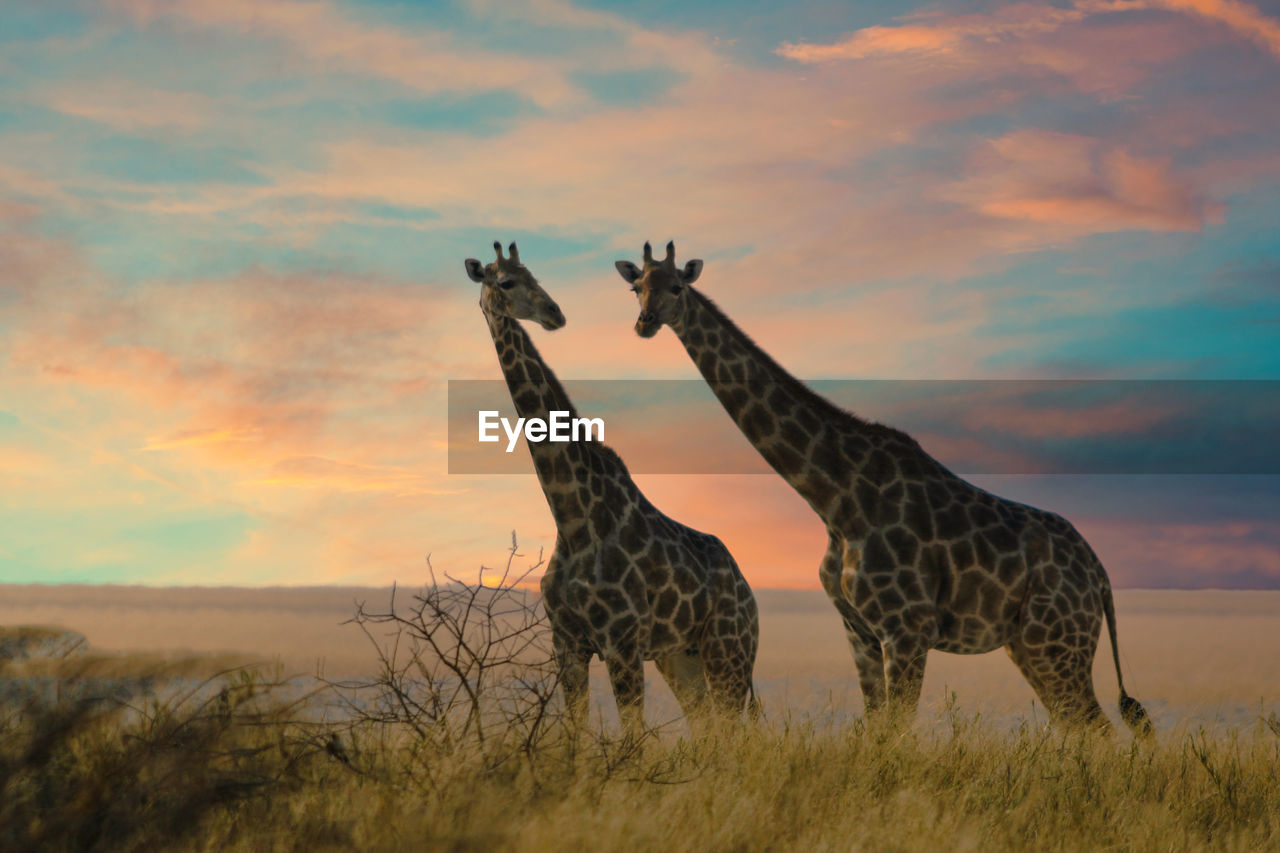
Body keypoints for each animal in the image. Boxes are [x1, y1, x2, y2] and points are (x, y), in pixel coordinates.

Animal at [465, 240, 757, 732]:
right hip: (682, 657)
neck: (571, 517)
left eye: (535, 275)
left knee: (734, 728)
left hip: (729, 650)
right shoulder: (568, 644)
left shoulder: (622, 642)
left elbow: (631, 740)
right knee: (706, 726)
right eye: (506, 281)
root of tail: (747, 587)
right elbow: (576, 735)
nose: (554, 313)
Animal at [614, 240, 1157, 732]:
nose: (645, 323)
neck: (834, 498)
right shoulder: (859, 630)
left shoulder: (907, 628)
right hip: (1029, 643)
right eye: (637, 288)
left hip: (1058, 639)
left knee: (1096, 726)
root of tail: (1099, 575)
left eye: (678, 287)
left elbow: (897, 733)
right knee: (1078, 726)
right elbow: (876, 730)